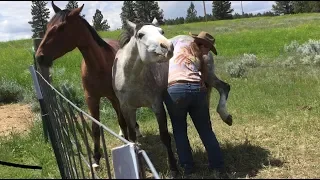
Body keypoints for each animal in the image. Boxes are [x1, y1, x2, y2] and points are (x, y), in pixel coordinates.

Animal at [35, 1, 129, 167]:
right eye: (47, 26)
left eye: (61, 27)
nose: (39, 57)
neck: (100, 66)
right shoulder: (91, 98)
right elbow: (95, 127)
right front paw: (96, 157)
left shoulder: (115, 97)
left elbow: (122, 120)